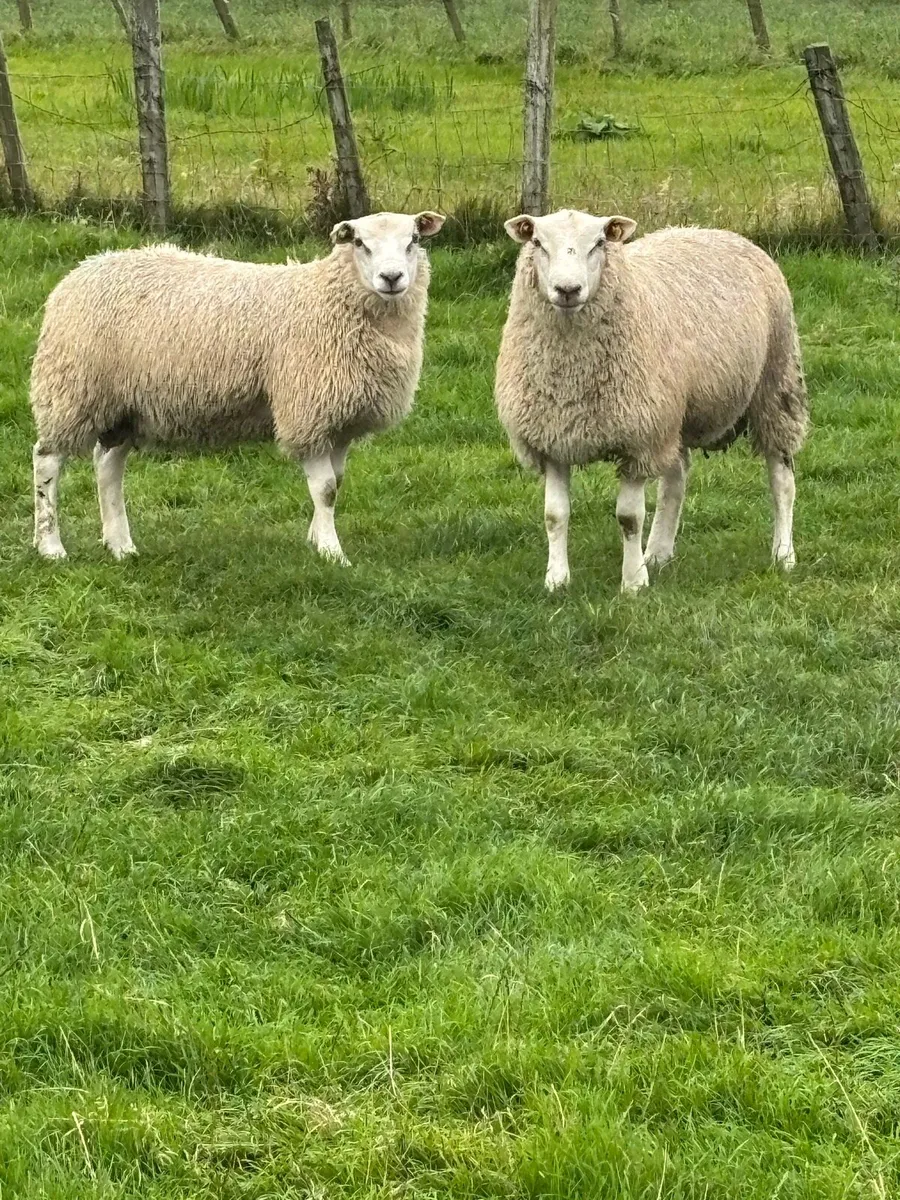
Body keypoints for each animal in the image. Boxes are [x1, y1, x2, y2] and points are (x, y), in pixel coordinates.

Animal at [30, 210, 445, 564]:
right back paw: (51, 546)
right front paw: (331, 553)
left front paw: (316, 539)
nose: (391, 278)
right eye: (360, 242)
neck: (330, 298)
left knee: (108, 466)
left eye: (412, 240)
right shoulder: (305, 411)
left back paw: (120, 545)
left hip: (125, 403)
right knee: (47, 460)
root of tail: (82, 269)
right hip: (73, 389)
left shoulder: (341, 419)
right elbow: (325, 488)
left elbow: (335, 485)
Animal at [494, 209, 808, 593]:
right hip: (673, 414)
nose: (568, 290)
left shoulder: (638, 439)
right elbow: (555, 515)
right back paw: (658, 552)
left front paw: (633, 583)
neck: (573, 376)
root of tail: (713, 230)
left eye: (599, 243)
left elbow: (628, 518)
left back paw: (784, 554)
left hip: (776, 384)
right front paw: (557, 579)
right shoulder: (552, 438)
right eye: (538, 242)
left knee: (782, 479)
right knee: (676, 479)